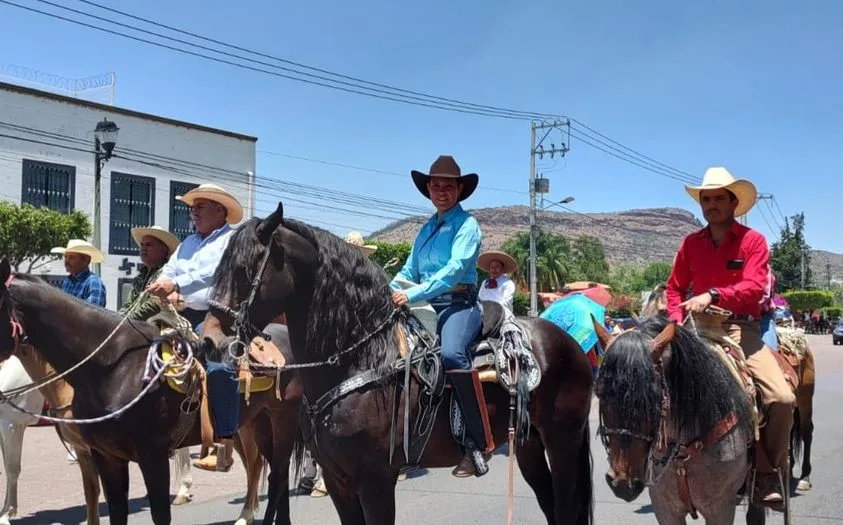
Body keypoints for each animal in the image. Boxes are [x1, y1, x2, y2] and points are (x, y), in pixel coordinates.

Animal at [0, 258, 300, 524]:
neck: (113, 366)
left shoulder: (152, 455)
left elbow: (159, 514)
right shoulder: (105, 455)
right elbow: (111, 509)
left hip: (282, 420)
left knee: (275, 471)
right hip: (256, 422)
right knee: (271, 470)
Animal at [201, 202, 596, 524]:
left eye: (243, 269)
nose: (210, 341)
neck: (363, 359)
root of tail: (567, 343)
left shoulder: (375, 481)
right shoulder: (339, 480)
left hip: (562, 441)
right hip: (528, 445)